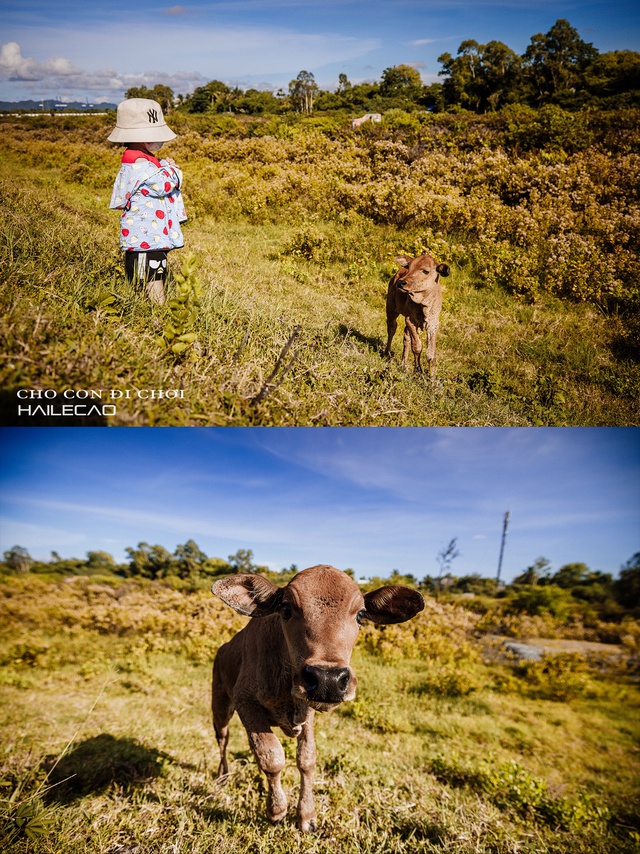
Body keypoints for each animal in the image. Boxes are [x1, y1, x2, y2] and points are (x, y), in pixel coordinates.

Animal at [211, 564, 424, 832]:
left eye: (360, 615)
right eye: (286, 608)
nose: (328, 679)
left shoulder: (308, 713)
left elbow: (306, 759)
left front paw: (307, 815)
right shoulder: (245, 702)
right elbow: (271, 756)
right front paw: (276, 810)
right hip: (220, 707)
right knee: (223, 739)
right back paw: (222, 776)